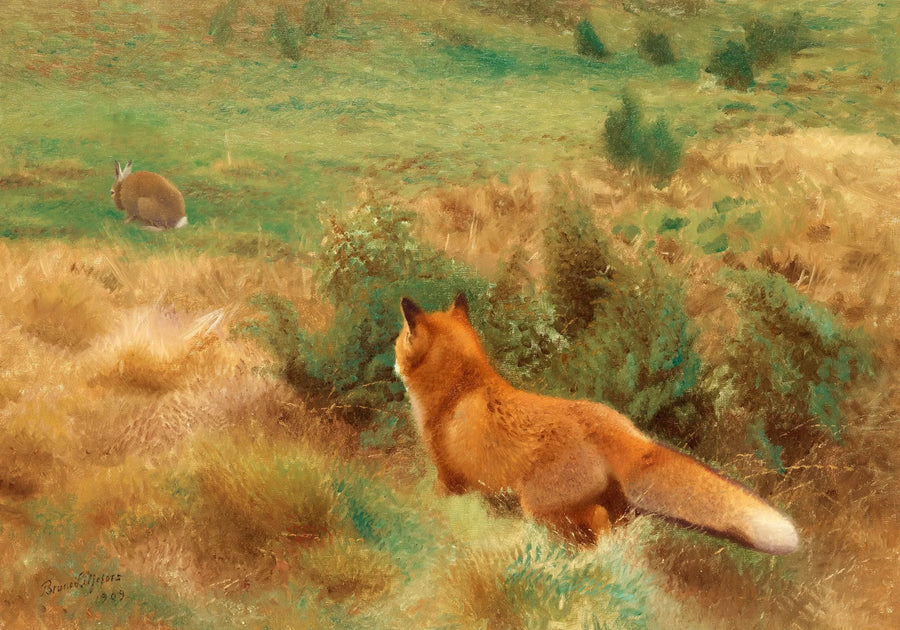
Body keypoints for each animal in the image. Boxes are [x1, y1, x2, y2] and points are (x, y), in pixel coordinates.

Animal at [394, 293, 799, 555]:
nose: (392, 362)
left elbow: (431, 501)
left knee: (592, 525)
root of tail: (623, 430)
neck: (460, 388)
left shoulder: (449, 478)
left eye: (399, 341)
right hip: (609, 508)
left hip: (538, 506)